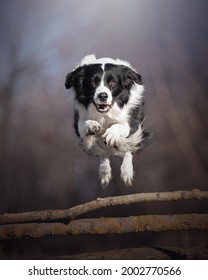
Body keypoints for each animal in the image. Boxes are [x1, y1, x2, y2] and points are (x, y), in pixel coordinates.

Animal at [66, 54, 152, 188]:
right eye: (93, 81)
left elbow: (120, 126)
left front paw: (111, 134)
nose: (102, 96)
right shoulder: (79, 119)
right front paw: (91, 125)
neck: (105, 114)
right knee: (102, 152)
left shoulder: (131, 122)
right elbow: (84, 125)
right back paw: (104, 171)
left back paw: (126, 172)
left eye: (113, 81)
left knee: (128, 148)